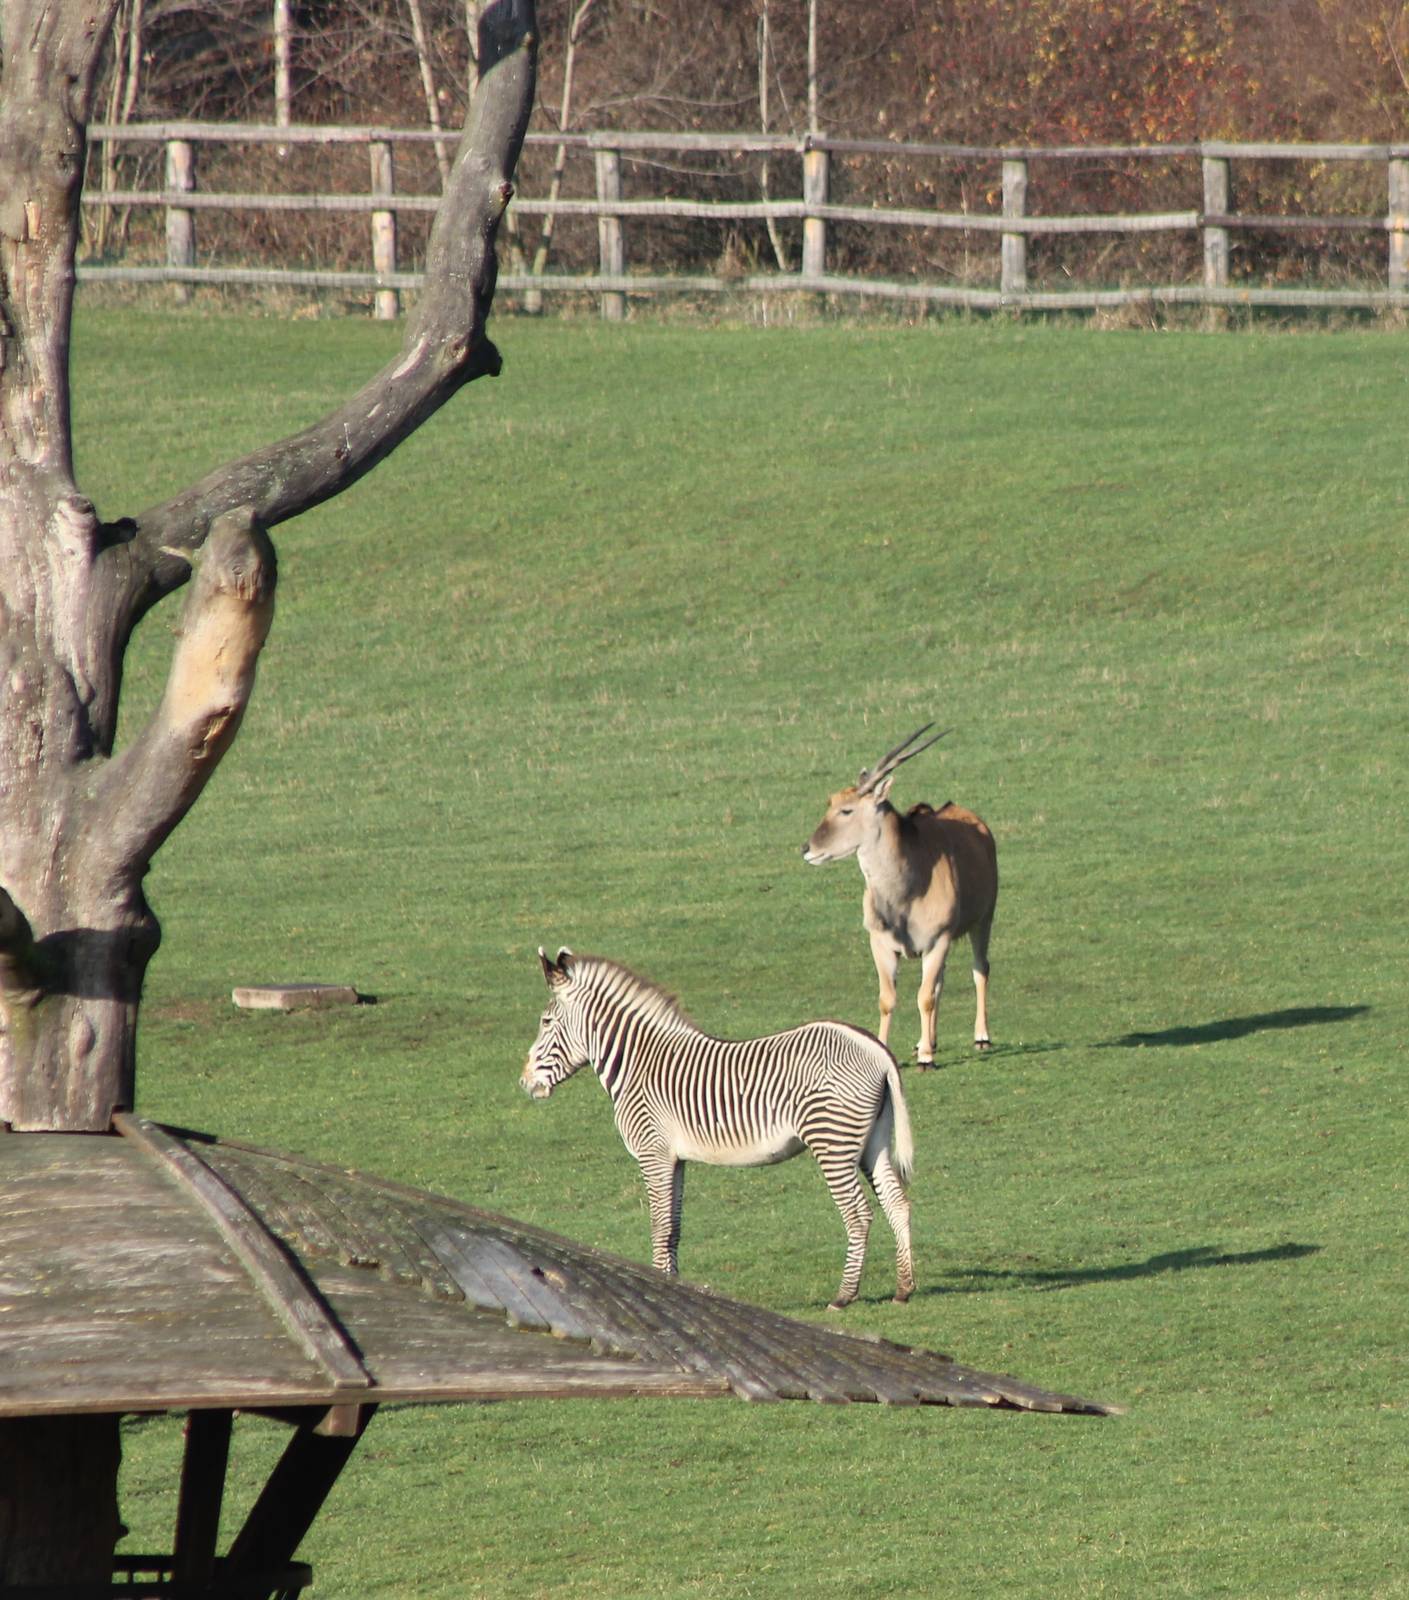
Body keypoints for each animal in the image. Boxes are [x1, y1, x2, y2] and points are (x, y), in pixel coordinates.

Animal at [520, 948, 916, 1309]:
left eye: (545, 1022)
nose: (525, 1083)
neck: (639, 1063)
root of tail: (877, 1050)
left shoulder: (653, 1153)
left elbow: (659, 1226)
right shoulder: (674, 1158)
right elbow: (674, 1228)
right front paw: (674, 1285)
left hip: (832, 1140)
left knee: (859, 1214)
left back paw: (844, 1295)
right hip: (872, 1141)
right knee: (897, 1203)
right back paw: (904, 1288)